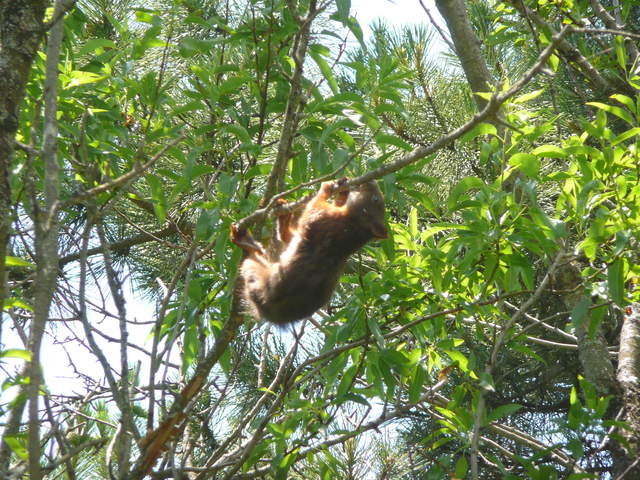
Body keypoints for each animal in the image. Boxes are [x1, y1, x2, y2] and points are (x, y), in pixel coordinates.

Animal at [230, 178, 387, 325]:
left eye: (376, 199)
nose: (372, 180)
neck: (353, 227)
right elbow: (288, 236)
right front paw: (342, 190)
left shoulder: (323, 222)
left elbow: (313, 207)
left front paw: (327, 187)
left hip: (256, 276)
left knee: (252, 258)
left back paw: (245, 241)